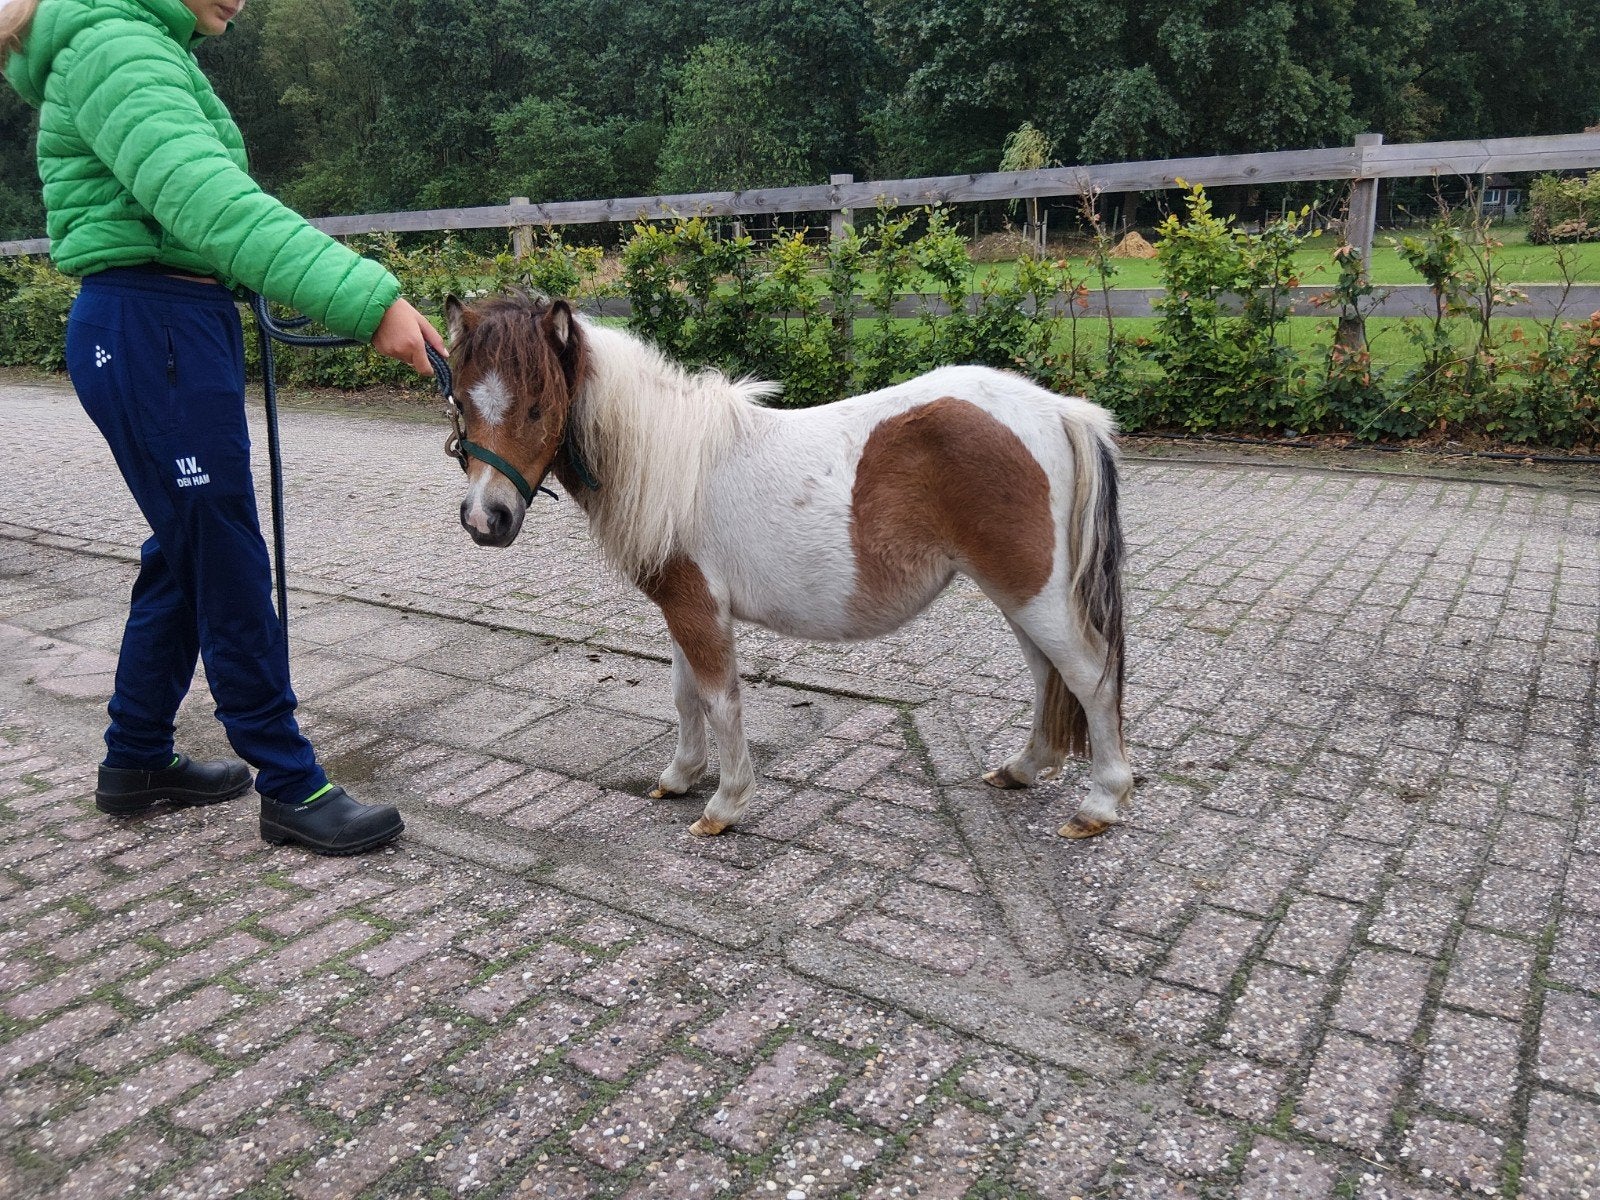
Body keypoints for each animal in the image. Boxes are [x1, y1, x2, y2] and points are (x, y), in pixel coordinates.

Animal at [440, 292, 1132, 841]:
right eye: (463, 404)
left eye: (538, 407)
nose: (485, 519)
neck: (672, 461)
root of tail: (1058, 411)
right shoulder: (683, 606)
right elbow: (684, 694)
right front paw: (680, 776)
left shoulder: (699, 610)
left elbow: (720, 700)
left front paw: (725, 803)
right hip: (1020, 595)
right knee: (1047, 674)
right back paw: (1023, 769)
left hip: (1034, 593)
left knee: (1088, 675)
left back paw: (1100, 803)